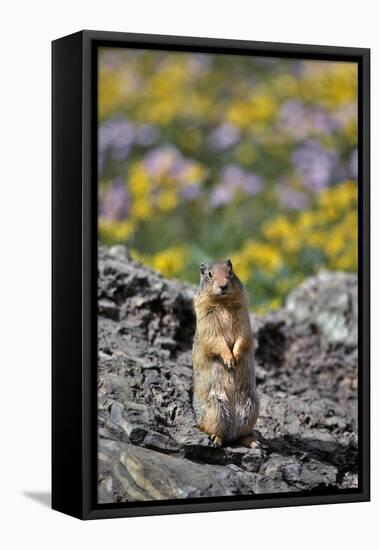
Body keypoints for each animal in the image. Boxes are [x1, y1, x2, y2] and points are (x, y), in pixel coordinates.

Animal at [191, 260, 260, 448]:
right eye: (209, 274)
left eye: (231, 271)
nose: (223, 285)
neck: (223, 303)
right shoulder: (206, 318)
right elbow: (216, 339)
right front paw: (229, 360)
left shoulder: (243, 316)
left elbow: (243, 336)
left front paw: (235, 356)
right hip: (215, 409)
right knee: (212, 429)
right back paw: (216, 439)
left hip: (251, 409)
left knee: (240, 436)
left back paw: (253, 441)